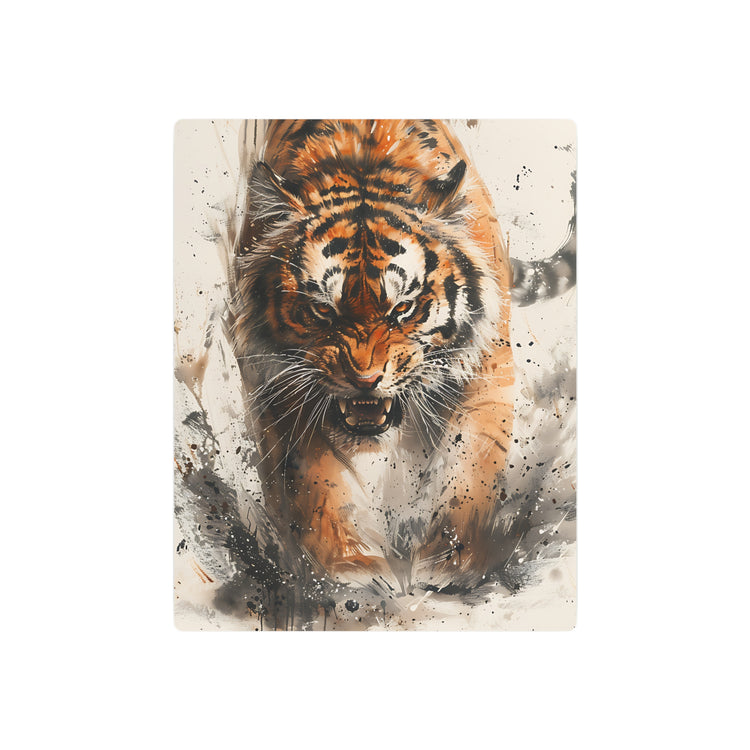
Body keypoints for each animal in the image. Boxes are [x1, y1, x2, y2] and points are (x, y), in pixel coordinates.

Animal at [226, 119, 515, 594]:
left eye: (404, 308)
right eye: (323, 310)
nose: (364, 380)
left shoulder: (486, 367)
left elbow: (469, 466)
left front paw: (449, 562)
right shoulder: (278, 384)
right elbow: (316, 480)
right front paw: (350, 567)